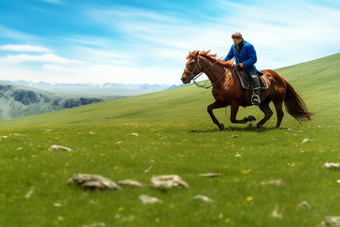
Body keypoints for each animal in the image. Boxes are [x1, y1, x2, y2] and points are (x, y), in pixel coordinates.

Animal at [181, 50, 314, 130]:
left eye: (191, 63)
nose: (183, 78)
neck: (223, 79)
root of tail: (280, 77)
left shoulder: (234, 103)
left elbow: (233, 119)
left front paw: (248, 119)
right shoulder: (222, 102)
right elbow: (209, 109)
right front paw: (220, 125)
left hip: (277, 100)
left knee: (279, 113)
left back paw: (275, 127)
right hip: (263, 101)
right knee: (269, 113)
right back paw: (259, 125)